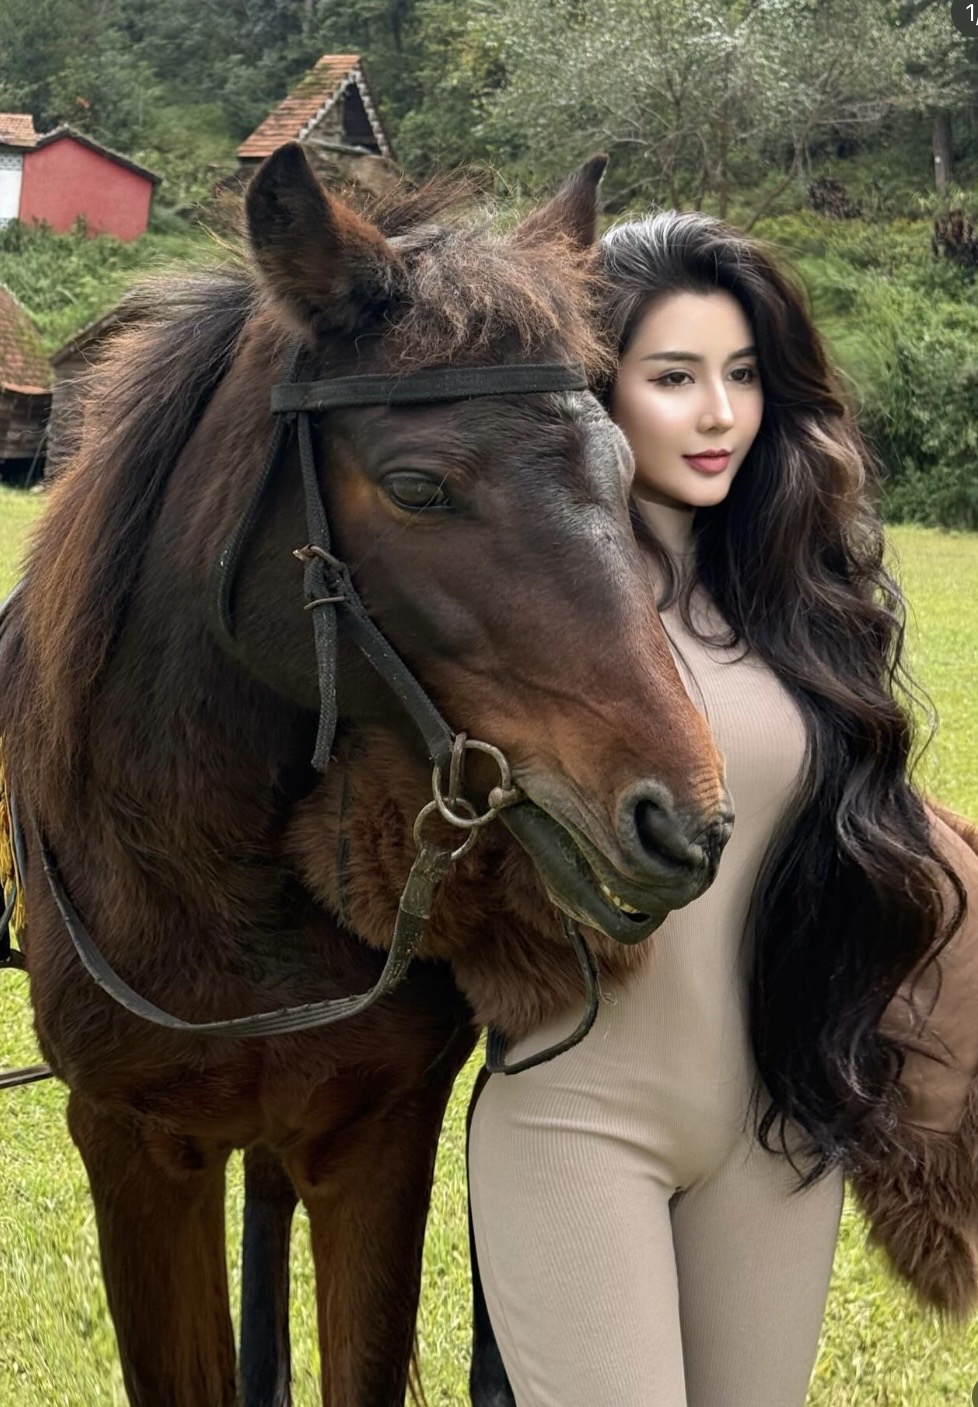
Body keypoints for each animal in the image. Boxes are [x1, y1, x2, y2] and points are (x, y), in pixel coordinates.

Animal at [0, 143, 733, 1406]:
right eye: (419, 487)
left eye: (623, 468)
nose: (679, 822)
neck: (215, 882)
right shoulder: (134, 1146)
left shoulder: (377, 1139)